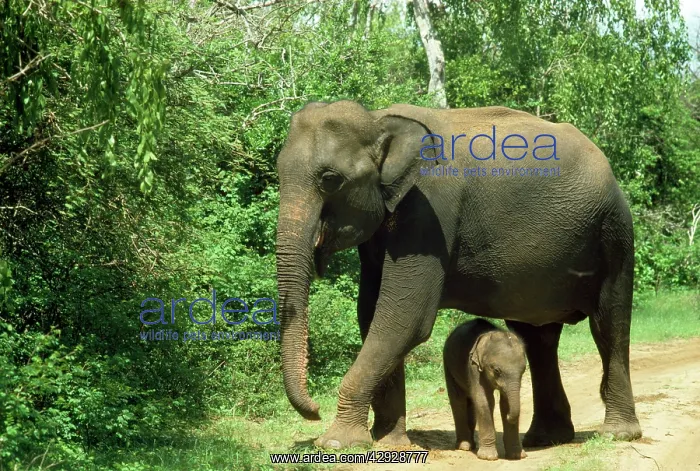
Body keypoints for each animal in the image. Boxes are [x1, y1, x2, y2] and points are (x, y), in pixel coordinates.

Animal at [443, 318, 527, 461]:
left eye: (523, 370)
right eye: (497, 370)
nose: (510, 416)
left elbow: (504, 403)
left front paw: (516, 456)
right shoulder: (473, 366)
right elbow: (484, 400)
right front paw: (488, 457)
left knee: (469, 401)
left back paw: (471, 444)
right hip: (448, 363)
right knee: (458, 400)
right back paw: (464, 446)